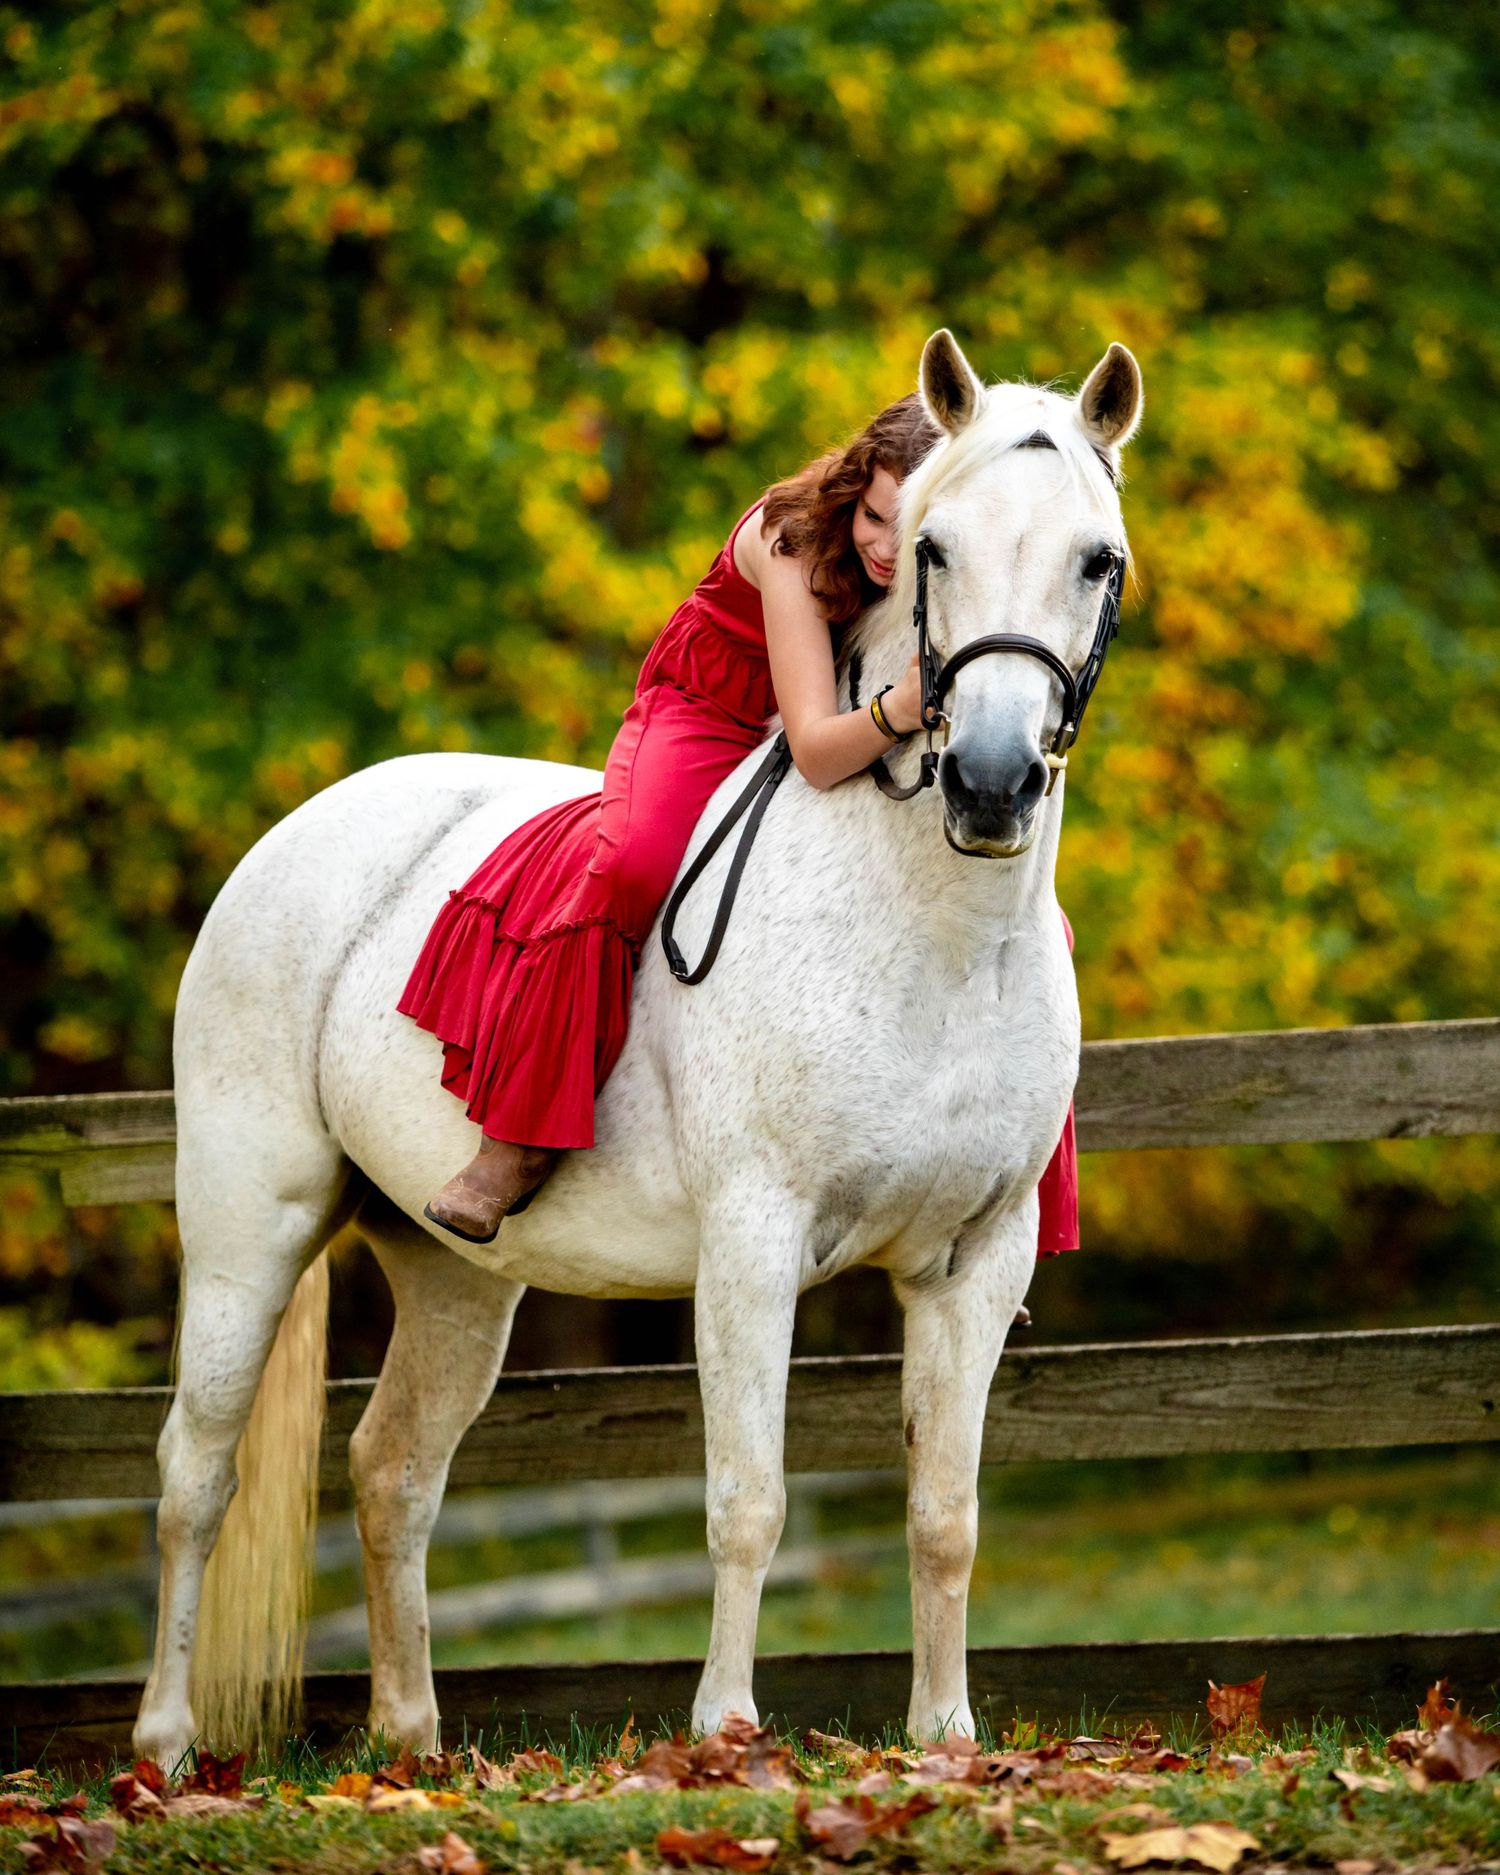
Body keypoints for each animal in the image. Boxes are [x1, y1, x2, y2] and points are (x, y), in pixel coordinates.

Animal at [132, 328, 1142, 1769]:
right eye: (934, 548)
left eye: (1096, 558)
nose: (991, 783)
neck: (934, 939)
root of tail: (302, 828)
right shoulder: (754, 1243)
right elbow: (748, 1498)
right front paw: (725, 1732)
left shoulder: (974, 1262)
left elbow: (945, 1514)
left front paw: (947, 1738)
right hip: (245, 1227)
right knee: (194, 1471)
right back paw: (162, 1746)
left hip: (451, 1272)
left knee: (393, 1469)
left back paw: (411, 1741)